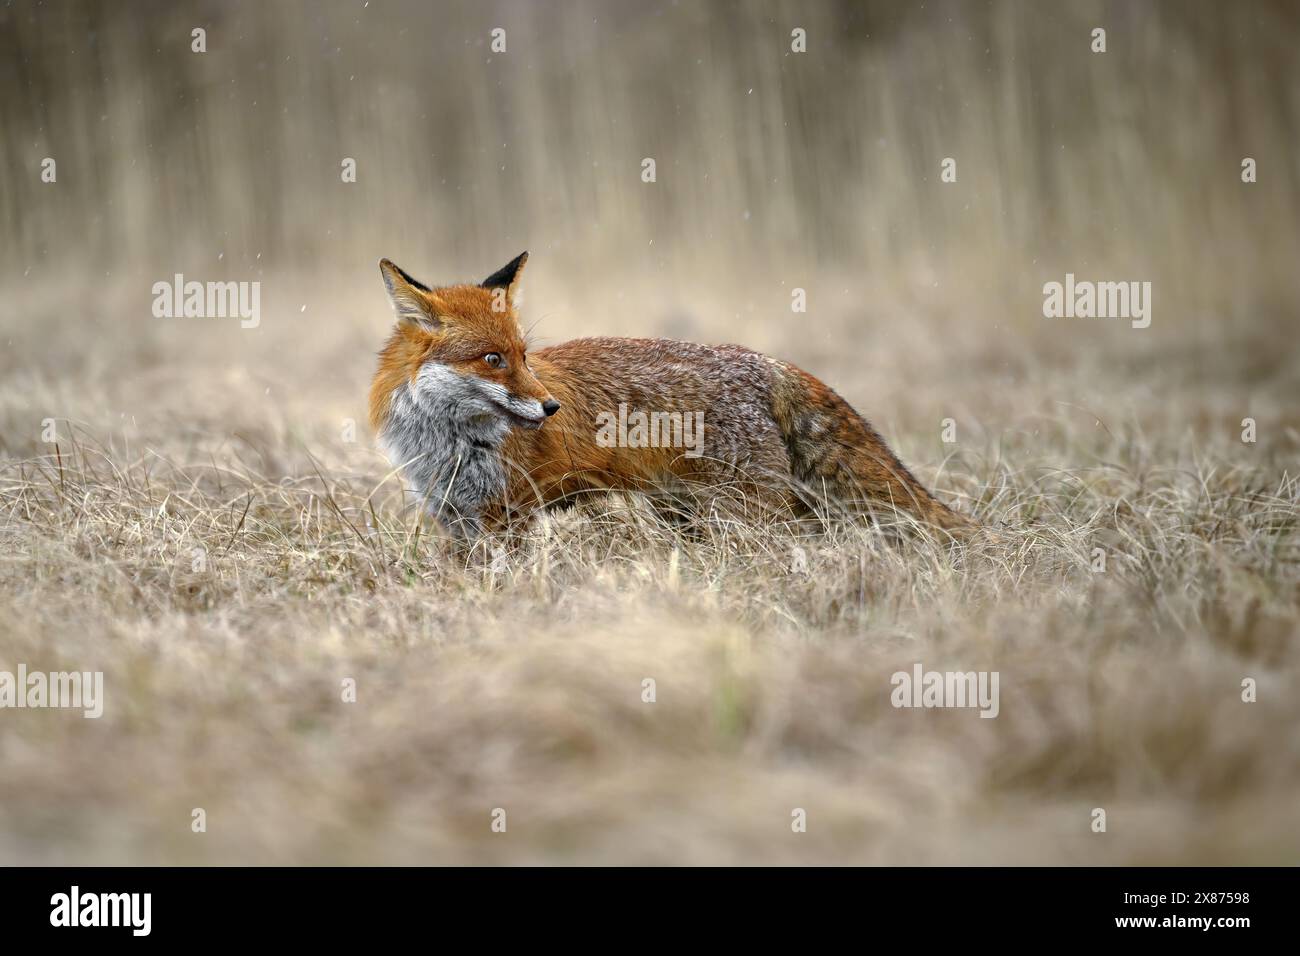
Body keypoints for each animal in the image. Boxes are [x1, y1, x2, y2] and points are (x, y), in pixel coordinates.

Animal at [369, 253, 977, 540]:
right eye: (493, 360)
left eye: (523, 355)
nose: (550, 408)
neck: (448, 443)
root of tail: (763, 361)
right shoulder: (456, 516)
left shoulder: (507, 514)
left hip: (742, 515)